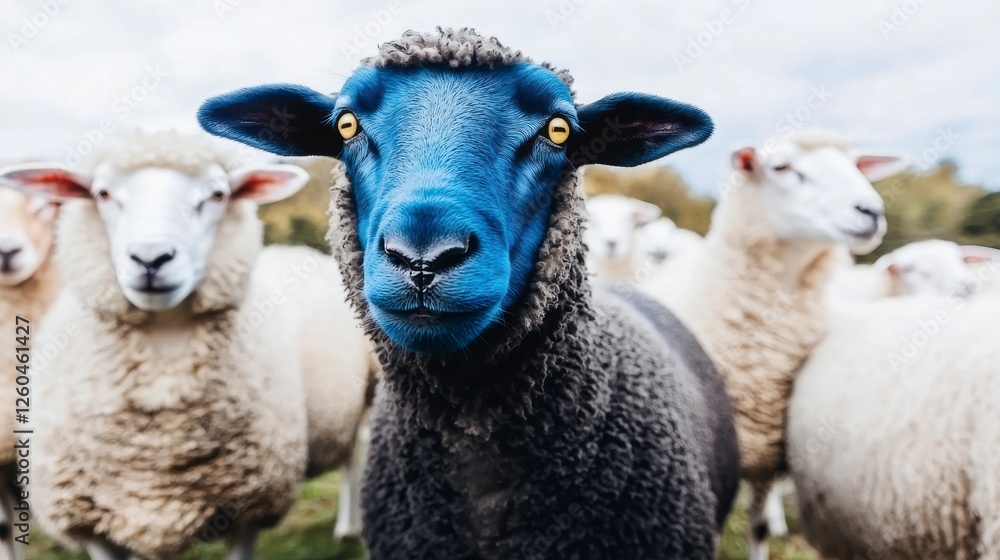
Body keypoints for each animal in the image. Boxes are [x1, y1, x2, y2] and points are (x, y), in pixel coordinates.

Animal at [1, 131, 372, 559]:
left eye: (217, 194)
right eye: (102, 193)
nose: (151, 258)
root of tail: (299, 250)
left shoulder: (248, 509)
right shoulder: (92, 524)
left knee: (356, 455)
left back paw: (352, 527)